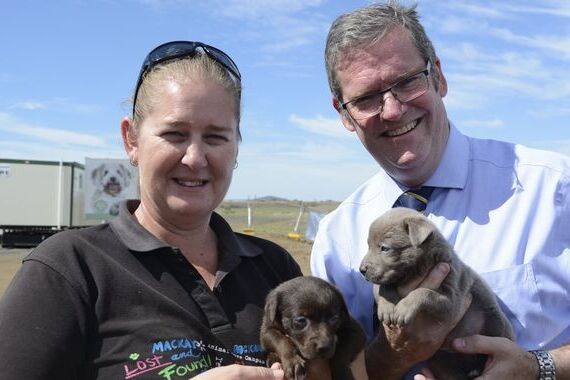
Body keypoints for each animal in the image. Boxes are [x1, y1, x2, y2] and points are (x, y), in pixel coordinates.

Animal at [360, 208, 516, 380]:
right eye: (368, 245)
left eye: (385, 248)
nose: (361, 270)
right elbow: (382, 287)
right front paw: (387, 309)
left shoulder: (453, 301)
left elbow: (424, 292)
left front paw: (403, 310)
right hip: (441, 360)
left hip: (495, 323)